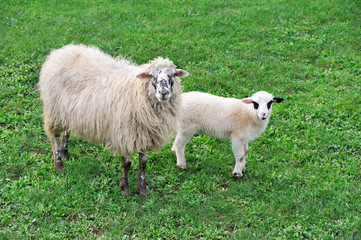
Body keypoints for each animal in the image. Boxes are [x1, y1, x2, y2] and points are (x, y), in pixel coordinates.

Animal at [38, 43, 188, 197]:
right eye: (152, 75)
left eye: (172, 75)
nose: (163, 93)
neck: (138, 91)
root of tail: (61, 51)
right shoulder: (124, 134)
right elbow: (126, 164)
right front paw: (125, 189)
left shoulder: (145, 134)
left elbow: (143, 163)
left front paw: (143, 190)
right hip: (54, 111)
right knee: (54, 136)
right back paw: (59, 164)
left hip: (68, 111)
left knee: (67, 130)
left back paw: (65, 152)